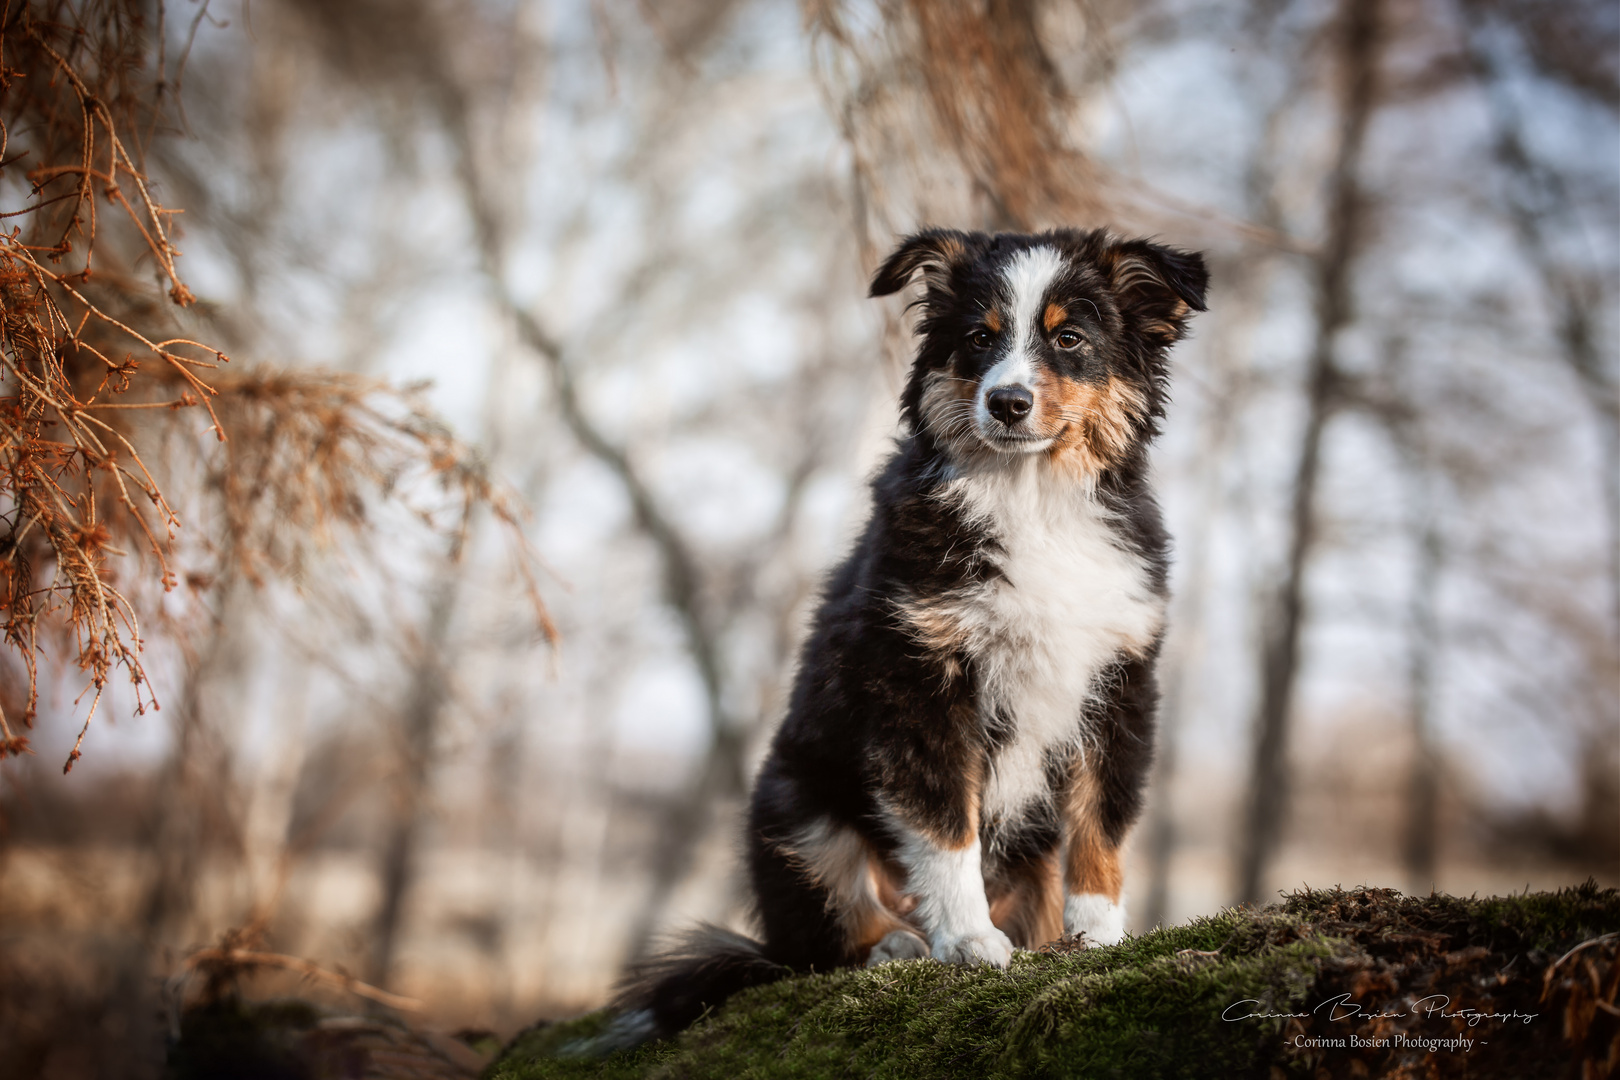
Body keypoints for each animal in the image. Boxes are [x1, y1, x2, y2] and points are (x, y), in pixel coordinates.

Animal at [618, 226, 1205, 1036]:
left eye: (1070, 339)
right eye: (979, 338)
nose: (1008, 402)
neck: (1034, 501)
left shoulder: (1119, 683)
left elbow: (1100, 829)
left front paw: (1099, 938)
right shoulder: (920, 679)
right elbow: (944, 824)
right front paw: (968, 941)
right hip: (796, 810)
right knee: (819, 938)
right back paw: (899, 943)